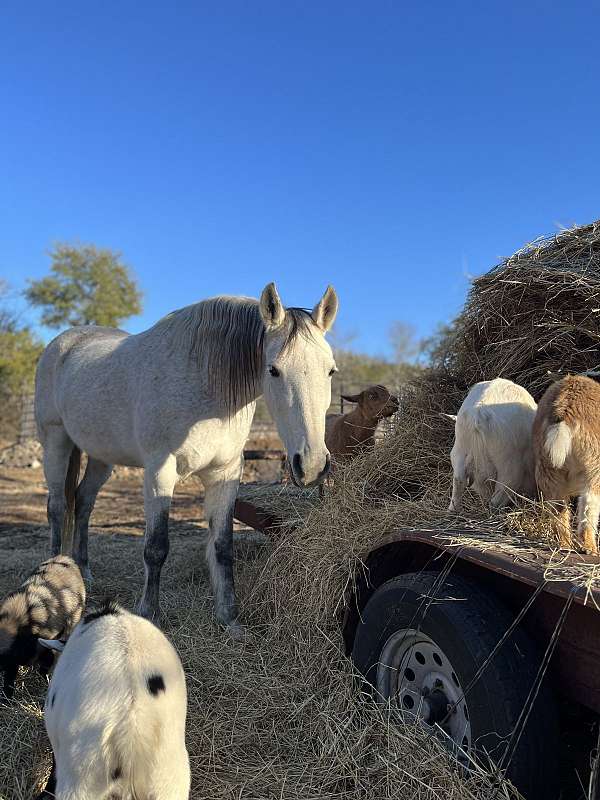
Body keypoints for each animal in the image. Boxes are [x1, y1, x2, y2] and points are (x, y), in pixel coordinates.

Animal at [35, 284, 338, 636]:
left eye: (330, 370)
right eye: (273, 369)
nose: (312, 465)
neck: (205, 382)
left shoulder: (225, 475)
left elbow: (222, 547)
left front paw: (230, 619)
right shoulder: (159, 473)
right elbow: (156, 547)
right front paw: (149, 614)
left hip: (100, 456)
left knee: (83, 502)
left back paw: (82, 572)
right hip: (56, 441)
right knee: (58, 507)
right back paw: (54, 577)